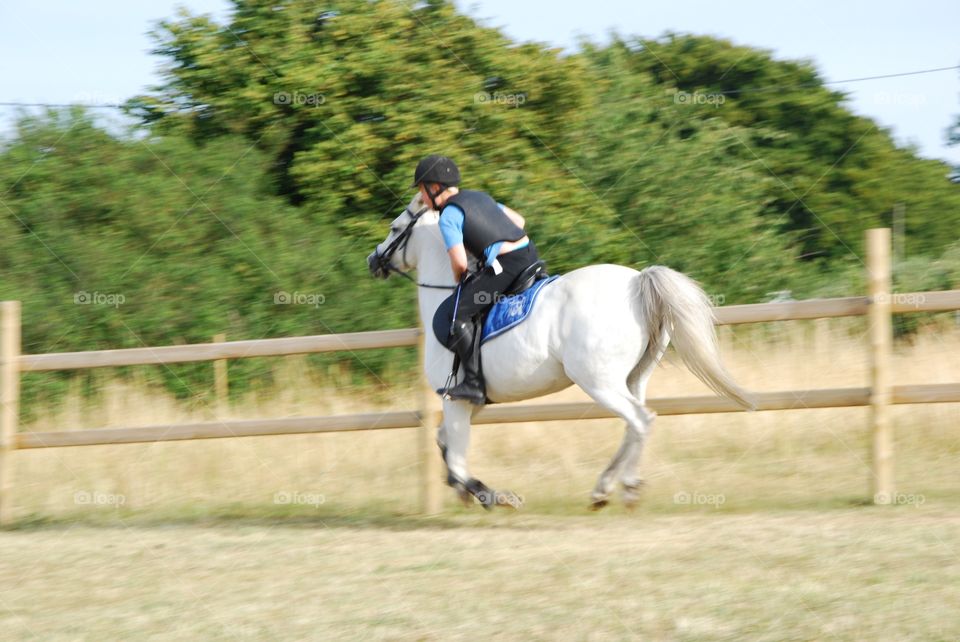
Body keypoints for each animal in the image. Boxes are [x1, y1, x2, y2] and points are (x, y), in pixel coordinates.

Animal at [368, 194, 754, 510]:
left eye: (395, 228)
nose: (373, 260)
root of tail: (636, 282)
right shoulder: (471, 402)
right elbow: (445, 442)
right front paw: (462, 490)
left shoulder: (455, 400)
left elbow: (458, 459)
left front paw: (493, 495)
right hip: (633, 377)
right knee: (635, 424)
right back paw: (604, 488)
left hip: (598, 381)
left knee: (640, 420)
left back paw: (625, 487)